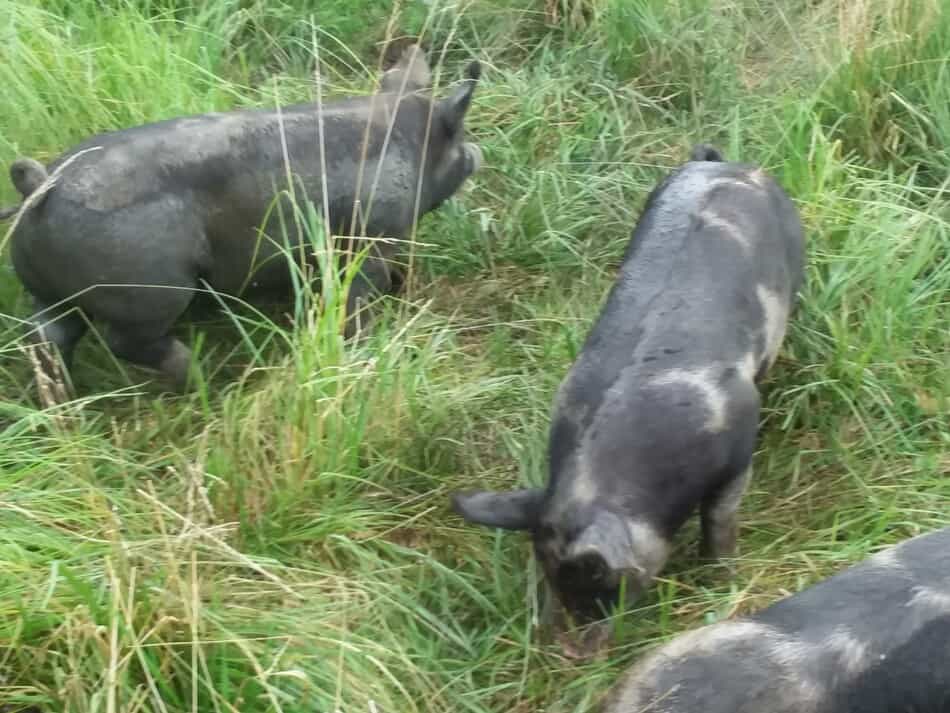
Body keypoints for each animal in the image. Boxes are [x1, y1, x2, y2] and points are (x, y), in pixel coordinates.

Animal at [1, 42, 484, 392]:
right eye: (460, 138)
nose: (478, 153)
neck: (406, 140)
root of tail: (43, 186)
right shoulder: (370, 239)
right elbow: (359, 298)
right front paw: (364, 347)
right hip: (150, 286)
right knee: (124, 340)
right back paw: (202, 380)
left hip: (49, 292)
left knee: (45, 339)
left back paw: (63, 405)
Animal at [452, 145, 804, 656]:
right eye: (549, 577)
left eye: (606, 583)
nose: (573, 651)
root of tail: (723, 163)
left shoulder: (739, 441)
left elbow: (720, 516)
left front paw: (722, 577)